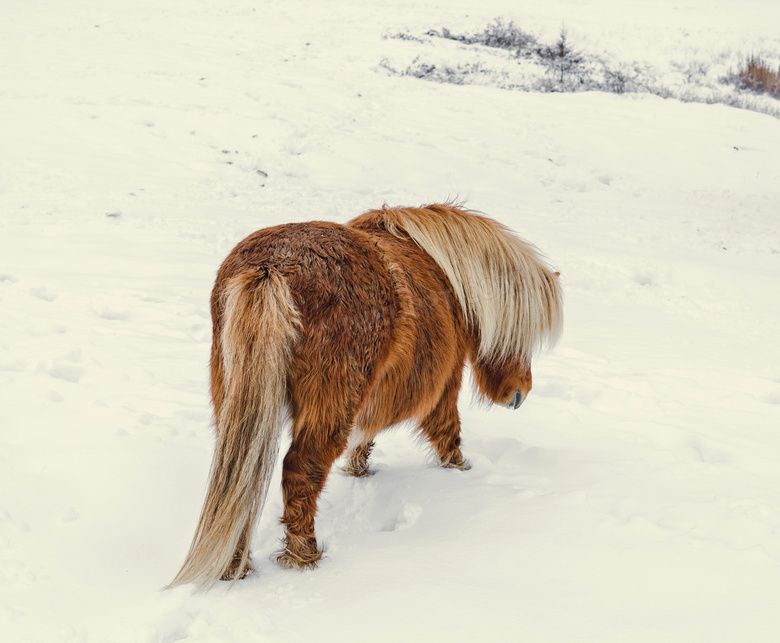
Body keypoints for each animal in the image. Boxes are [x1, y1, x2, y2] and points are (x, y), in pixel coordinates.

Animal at [168, 205, 564, 588]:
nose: (520, 394)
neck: (449, 282)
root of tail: (272, 266)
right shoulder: (443, 386)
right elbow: (448, 433)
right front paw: (460, 472)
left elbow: (365, 435)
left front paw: (359, 470)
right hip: (330, 403)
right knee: (300, 470)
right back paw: (303, 557)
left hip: (238, 402)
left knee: (241, 478)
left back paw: (235, 565)